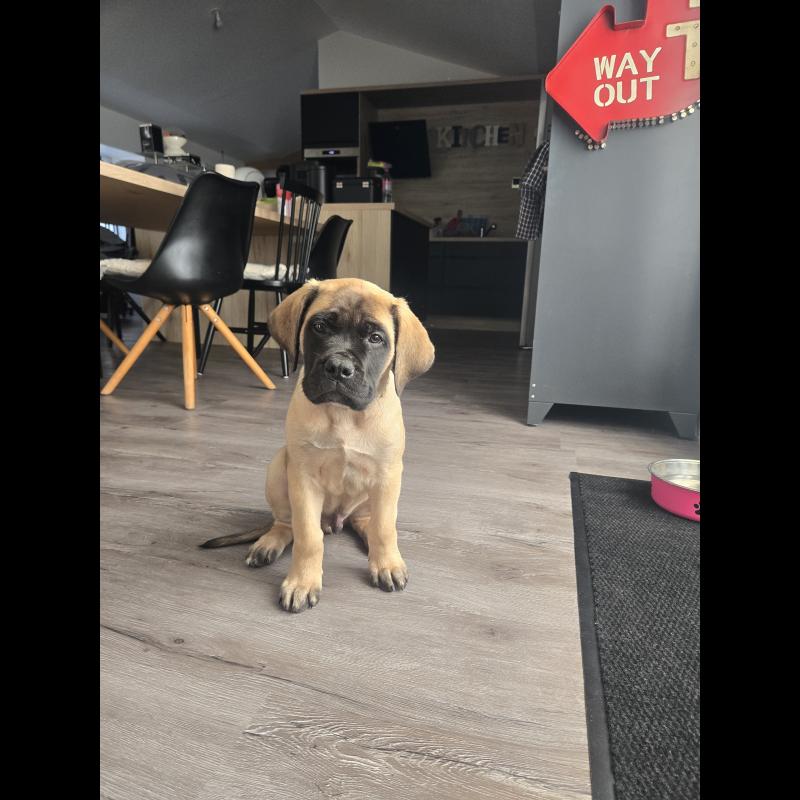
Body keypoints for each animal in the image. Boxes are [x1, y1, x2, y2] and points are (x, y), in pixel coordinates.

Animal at [201, 278, 435, 612]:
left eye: (376, 338)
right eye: (320, 326)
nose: (338, 368)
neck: (344, 415)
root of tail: (335, 520)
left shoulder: (388, 474)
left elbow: (385, 527)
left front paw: (387, 563)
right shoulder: (303, 478)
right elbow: (308, 537)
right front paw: (302, 582)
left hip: (374, 492)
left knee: (368, 521)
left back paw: (372, 544)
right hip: (279, 467)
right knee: (286, 523)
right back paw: (268, 544)